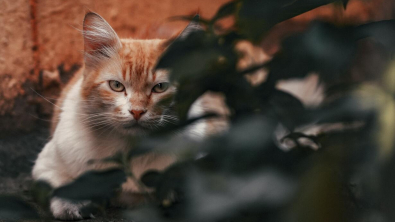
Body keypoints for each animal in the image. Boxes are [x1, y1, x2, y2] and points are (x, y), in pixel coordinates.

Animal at [32, 11, 206, 219]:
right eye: (116, 85)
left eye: (160, 87)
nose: (137, 111)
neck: (130, 149)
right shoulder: (46, 164)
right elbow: (62, 184)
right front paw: (74, 204)